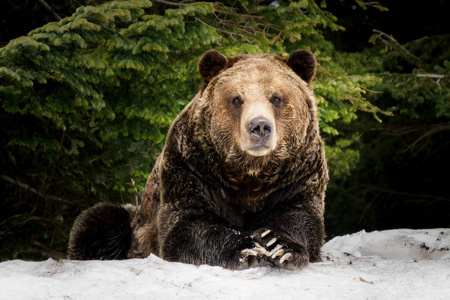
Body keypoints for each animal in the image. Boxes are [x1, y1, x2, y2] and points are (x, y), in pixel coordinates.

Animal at [68, 48, 328, 270]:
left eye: (276, 98)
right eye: (236, 99)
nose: (260, 126)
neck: (249, 174)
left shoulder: (297, 174)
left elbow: (301, 217)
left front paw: (275, 244)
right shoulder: (192, 168)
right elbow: (187, 225)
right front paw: (246, 250)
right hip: (135, 222)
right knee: (98, 221)